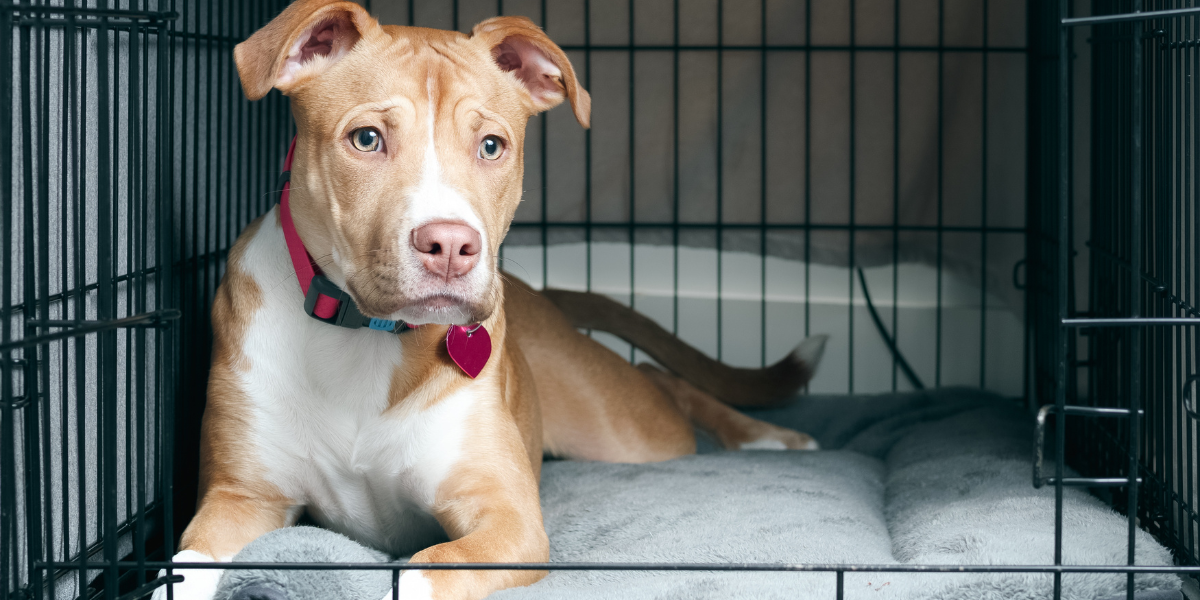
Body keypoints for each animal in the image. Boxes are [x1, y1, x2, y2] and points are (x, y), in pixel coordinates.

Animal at [159, 1, 825, 600]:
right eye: (366, 139)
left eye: (490, 146)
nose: (451, 247)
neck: (367, 338)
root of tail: (543, 296)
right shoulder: (238, 499)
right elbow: (182, 569)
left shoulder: (507, 519)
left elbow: (424, 571)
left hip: (625, 429)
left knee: (665, 383)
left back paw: (771, 439)